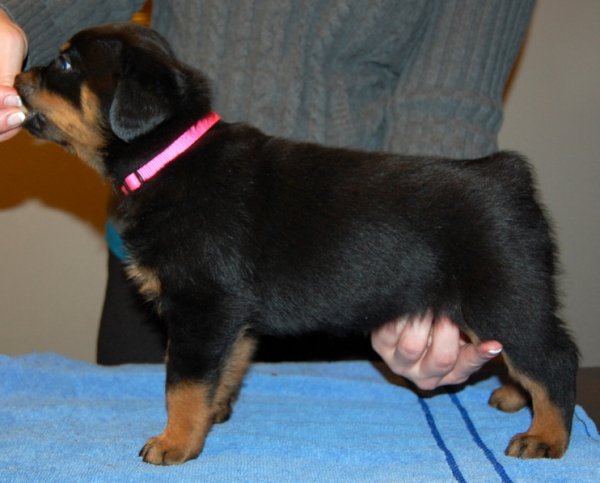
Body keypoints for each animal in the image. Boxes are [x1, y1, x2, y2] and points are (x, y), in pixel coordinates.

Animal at [15, 24, 578, 465]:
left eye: (65, 62)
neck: (169, 158)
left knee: (554, 357)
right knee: (524, 357)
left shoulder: (202, 305)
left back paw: (545, 436)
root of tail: (506, 175)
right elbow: (226, 365)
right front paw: (213, 413)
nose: (19, 75)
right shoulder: (230, 314)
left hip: (504, 295)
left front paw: (174, 442)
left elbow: (182, 381)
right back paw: (514, 397)